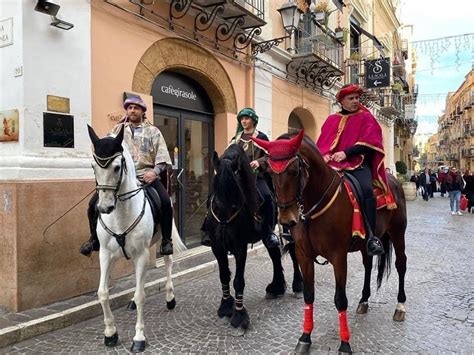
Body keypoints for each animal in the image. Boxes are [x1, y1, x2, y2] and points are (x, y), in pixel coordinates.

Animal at [87, 125, 185, 354]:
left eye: (116, 167)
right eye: (93, 166)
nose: (104, 208)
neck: (121, 214)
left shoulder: (141, 254)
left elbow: (142, 295)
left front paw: (139, 337)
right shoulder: (106, 254)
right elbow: (103, 293)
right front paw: (110, 333)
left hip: (162, 241)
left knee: (168, 263)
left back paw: (170, 297)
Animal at [202, 144, 302, 330]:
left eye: (235, 183)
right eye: (216, 181)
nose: (223, 222)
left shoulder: (240, 247)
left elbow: (238, 281)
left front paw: (239, 316)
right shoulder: (217, 247)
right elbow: (224, 276)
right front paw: (225, 306)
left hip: (289, 227)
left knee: (292, 252)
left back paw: (298, 286)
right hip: (266, 235)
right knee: (274, 254)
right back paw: (276, 287)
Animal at [254, 131, 410, 355]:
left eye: (294, 170)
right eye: (271, 173)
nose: (286, 220)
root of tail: (392, 181)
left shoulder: (338, 257)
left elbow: (340, 299)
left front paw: (345, 344)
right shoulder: (304, 255)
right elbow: (308, 295)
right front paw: (305, 338)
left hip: (398, 233)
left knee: (401, 265)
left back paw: (400, 306)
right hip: (366, 244)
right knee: (368, 265)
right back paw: (364, 300)